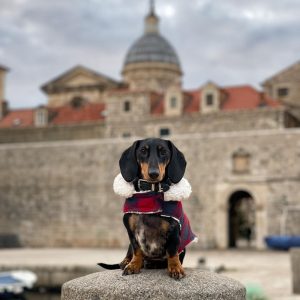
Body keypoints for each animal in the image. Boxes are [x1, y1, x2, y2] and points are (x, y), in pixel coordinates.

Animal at [99, 138, 196, 278]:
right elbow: (136, 249)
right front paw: (133, 265)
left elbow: (172, 252)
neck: (150, 195)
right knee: (130, 251)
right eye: (143, 151)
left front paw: (175, 267)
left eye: (163, 152)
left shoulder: (174, 230)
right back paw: (126, 261)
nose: (154, 173)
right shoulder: (131, 231)